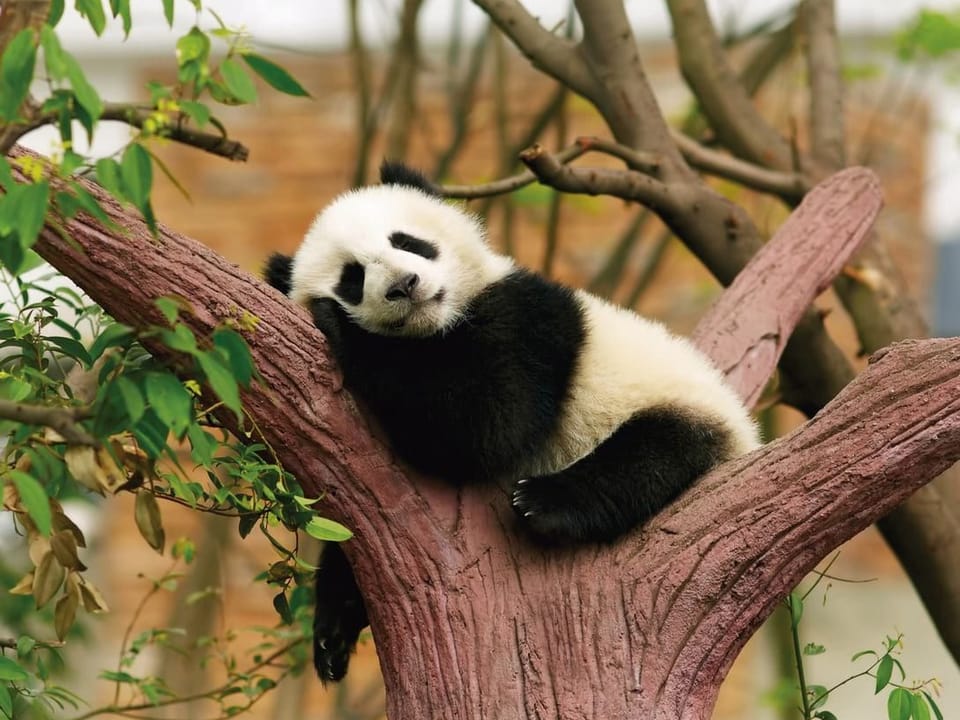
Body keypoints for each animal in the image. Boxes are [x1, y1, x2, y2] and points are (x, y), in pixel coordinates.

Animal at [264, 161, 759, 681]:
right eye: (353, 278)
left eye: (407, 242)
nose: (404, 285)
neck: (438, 326)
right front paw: (334, 626)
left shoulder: (527, 319)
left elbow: (487, 426)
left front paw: (342, 328)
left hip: (677, 405)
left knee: (651, 454)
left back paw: (546, 502)